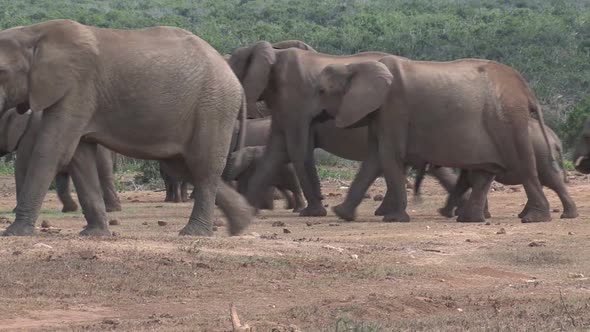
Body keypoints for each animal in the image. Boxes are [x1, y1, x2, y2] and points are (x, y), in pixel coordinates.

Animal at [0, 20, 252, 236]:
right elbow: (80, 159)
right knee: (184, 166)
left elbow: (51, 152)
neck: (33, 33)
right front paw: (94, 234)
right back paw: (242, 222)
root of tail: (235, 80)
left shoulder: (76, 88)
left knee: (203, 167)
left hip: (213, 107)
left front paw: (14, 233)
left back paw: (194, 233)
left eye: (1, 72)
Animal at [320, 55, 556, 223]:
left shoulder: (393, 108)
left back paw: (534, 218)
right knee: (484, 172)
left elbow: (388, 156)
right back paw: (469, 219)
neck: (355, 66)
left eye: (321, 91)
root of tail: (527, 91)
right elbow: (374, 158)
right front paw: (341, 214)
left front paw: (394, 219)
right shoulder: (379, 114)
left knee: (523, 165)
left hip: (508, 121)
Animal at [412, 120, 580, 219]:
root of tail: (555, 140)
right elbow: (465, 181)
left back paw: (566, 216)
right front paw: (446, 213)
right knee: (546, 180)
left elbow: (473, 180)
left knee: (550, 180)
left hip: (541, 154)